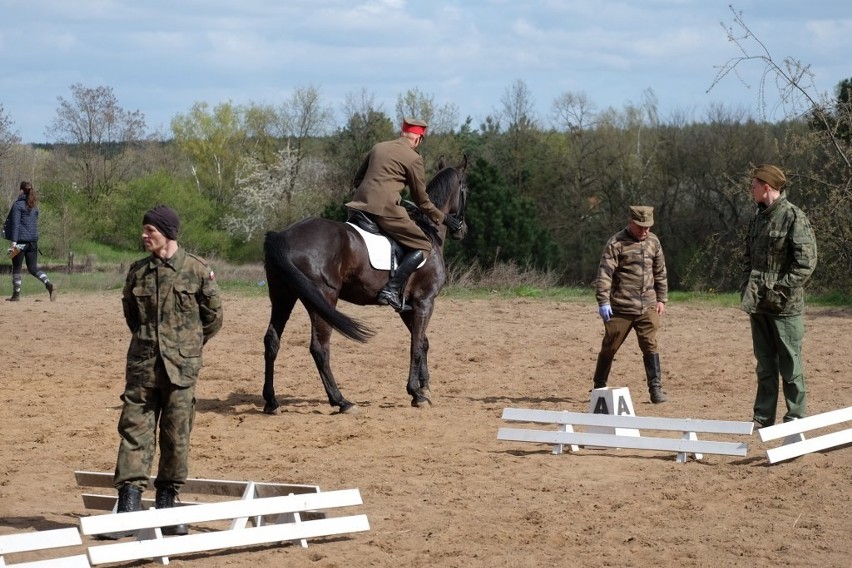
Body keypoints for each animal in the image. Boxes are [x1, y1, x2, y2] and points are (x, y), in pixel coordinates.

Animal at [262, 155, 470, 412]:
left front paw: (425, 387)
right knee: (319, 348)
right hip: (323, 299)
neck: (427, 232)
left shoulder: (406, 306)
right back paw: (341, 401)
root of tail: (282, 235)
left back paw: (271, 401)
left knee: (272, 341)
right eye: (466, 189)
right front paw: (416, 393)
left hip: (283, 296)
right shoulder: (425, 301)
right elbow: (416, 345)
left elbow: (423, 342)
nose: (463, 230)